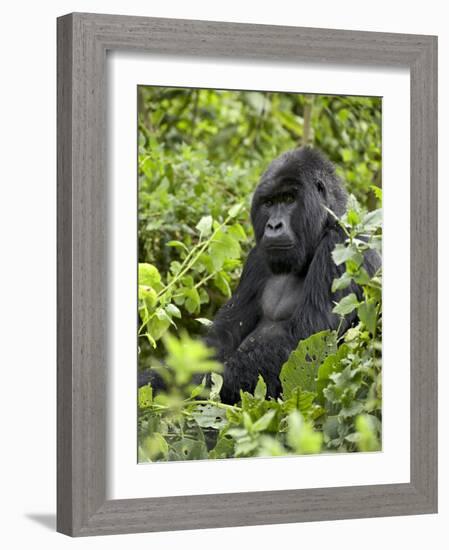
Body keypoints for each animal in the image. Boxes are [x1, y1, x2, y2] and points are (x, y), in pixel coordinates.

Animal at [206, 147, 378, 406]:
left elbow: (305, 343)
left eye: (288, 200)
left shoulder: (341, 245)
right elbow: (223, 334)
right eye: (269, 203)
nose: (273, 226)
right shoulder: (256, 258)